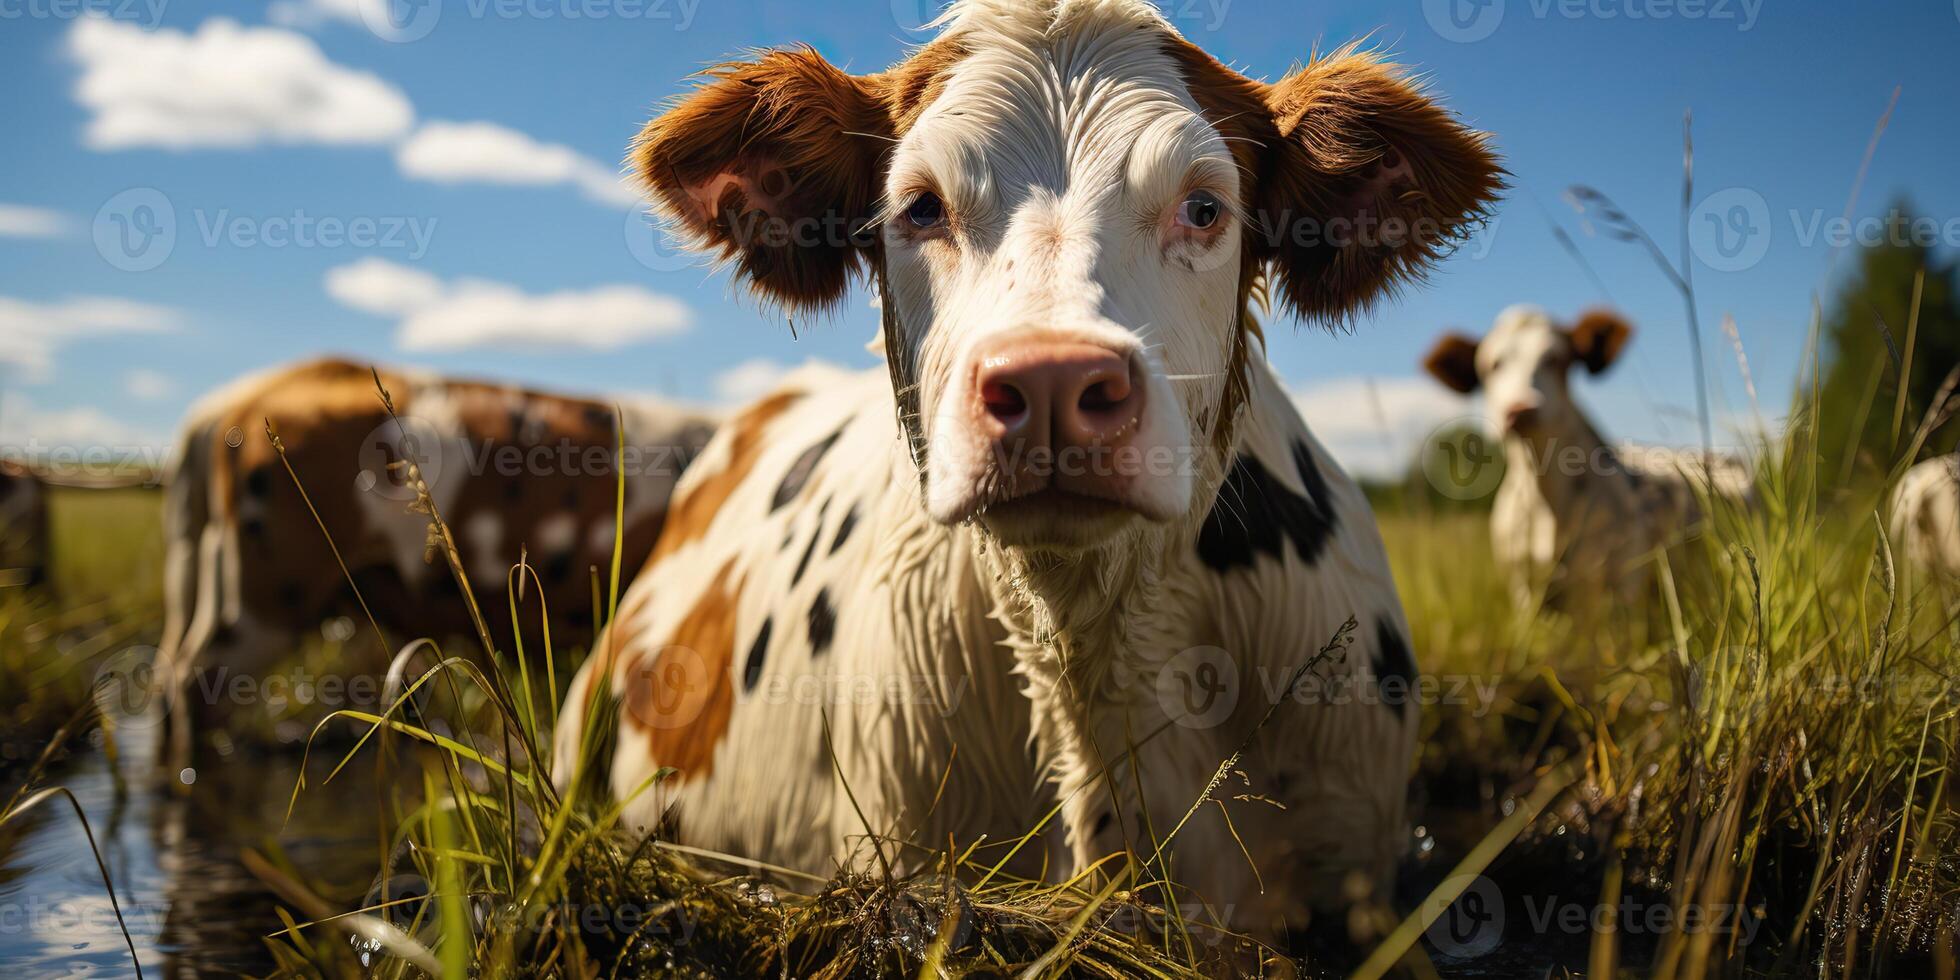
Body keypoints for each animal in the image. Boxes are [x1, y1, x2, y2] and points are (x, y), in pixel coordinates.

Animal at [1419, 305, 1756, 611]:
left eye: (1556, 359)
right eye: (1492, 365)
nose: (1521, 409)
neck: (1546, 498)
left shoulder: (1615, 587)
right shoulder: (1521, 584)